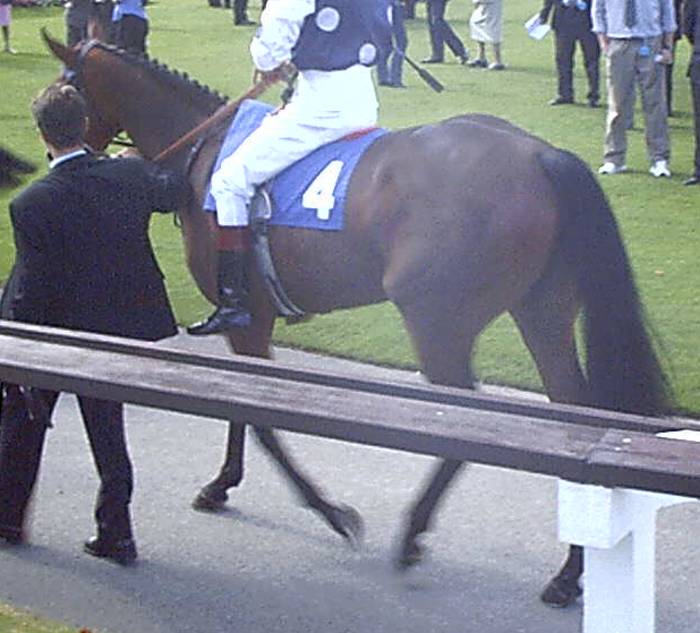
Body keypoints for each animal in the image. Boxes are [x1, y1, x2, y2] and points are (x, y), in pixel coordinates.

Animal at [43, 33, 670, 607]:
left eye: (66, 89)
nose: (55, 154)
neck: (205, 148)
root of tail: (540, 154)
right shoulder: (255, 325)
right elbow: (243, 409)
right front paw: (222, 485)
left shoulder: (247, 319)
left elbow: (261, 420)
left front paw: (329, 511)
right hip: (541, 311)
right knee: (572, 413)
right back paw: (570, 571)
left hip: (436, 322)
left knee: (464, 424)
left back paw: (415, 535)